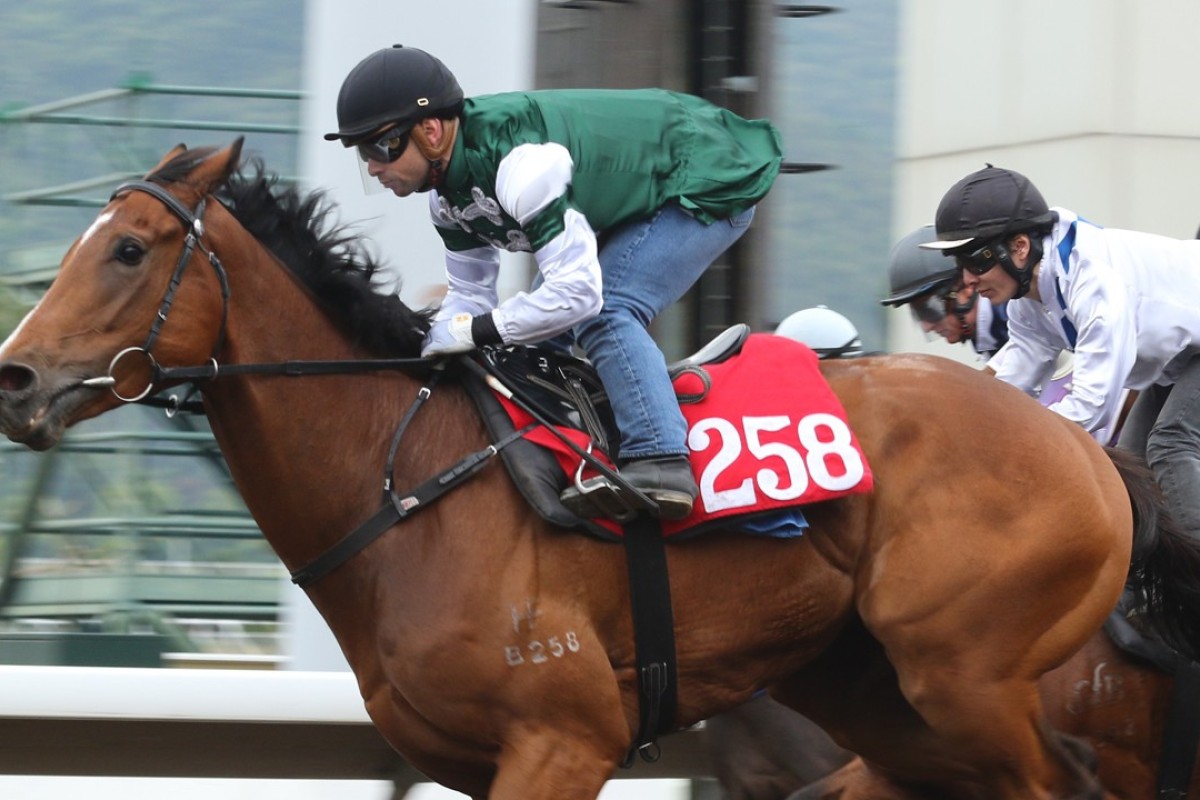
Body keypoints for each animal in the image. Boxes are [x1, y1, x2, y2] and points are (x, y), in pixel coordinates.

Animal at [2, 139, 1200, 800]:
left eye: (128, 250)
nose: (15, 377)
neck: (409, 483)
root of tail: (1084, 456)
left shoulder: (561, 741)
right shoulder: (470, 759)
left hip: (963, 672)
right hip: (880, 695)